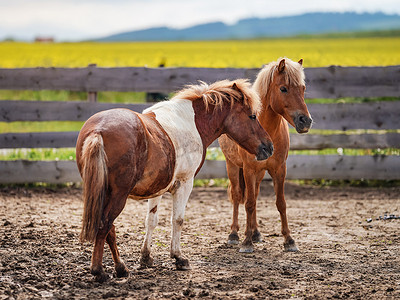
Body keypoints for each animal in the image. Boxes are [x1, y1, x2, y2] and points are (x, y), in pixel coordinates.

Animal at [75, 78, 274, 282]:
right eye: (252, 116)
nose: (269, 146)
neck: (191, 122)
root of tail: (98, 131)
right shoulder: (184, 184)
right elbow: (177, 219)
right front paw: (178, 258)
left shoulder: (157, 188)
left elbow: (151, 220)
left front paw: (146, 257)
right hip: (117, 196)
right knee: (104, 225)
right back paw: (99, 270)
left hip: (105, 194)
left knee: (109, 229)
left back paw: (121, 268)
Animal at [219, 58, 312, 253]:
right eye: (283, 88)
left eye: (303, 88)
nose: (305, 121)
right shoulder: (248, 170)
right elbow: (248, 203)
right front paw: (246, 242)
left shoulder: (279, 169)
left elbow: (280, 203)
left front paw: (289, 240)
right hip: (233, 166)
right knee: (238, 196)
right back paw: (234, 234)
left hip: (260, 173)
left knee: (255, 195)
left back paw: (256, 233)